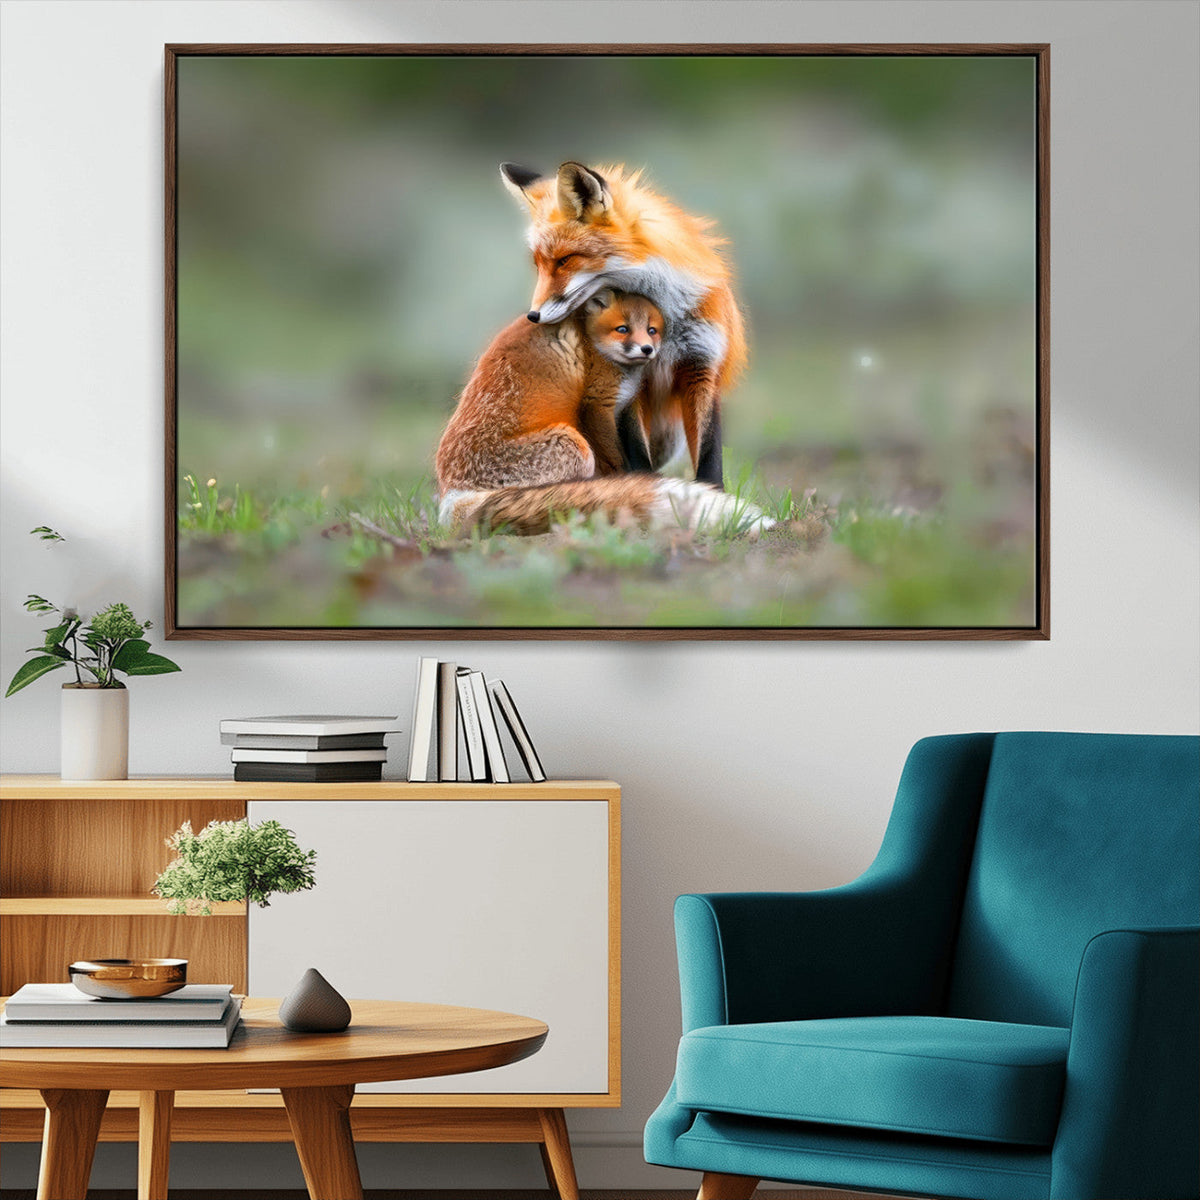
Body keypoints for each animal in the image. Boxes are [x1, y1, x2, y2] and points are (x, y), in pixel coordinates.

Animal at [499, 160, 747, 489]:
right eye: (538, 265)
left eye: (564, 260)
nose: (533, 316)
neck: (665, 319)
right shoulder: (630, 382)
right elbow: (637, 454)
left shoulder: (702, 366)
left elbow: (709, 456)